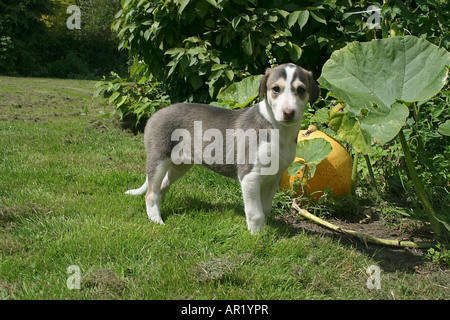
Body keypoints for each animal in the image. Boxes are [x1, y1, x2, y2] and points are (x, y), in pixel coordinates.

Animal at [125, 62, 318, 234]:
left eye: (301, 90)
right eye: (276, 89)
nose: (288, 113)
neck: (278, 129)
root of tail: (155, 113)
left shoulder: (274, 178)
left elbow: (265, 209)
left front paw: (264, 233)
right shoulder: (250, 177)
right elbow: (255, 213)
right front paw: (256, 238)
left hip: (180, 165)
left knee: (161, 186)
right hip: (159, 158)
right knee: (150, 193)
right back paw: (156, 220)